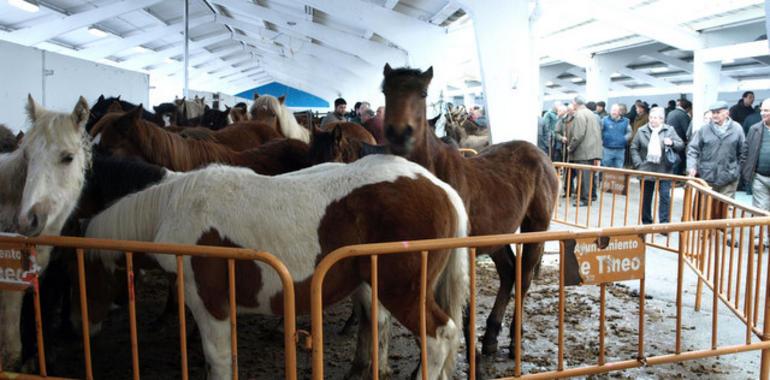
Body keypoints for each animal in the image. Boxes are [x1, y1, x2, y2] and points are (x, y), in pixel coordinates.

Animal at [82, 155, 468, 380]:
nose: (81, 327)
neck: (174, 207)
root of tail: (442, 188)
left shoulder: (209, 303)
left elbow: (217, 360)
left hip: (403, 292)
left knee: (438, 338)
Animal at [378, 65, 560, 362]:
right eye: (385, 90)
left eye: (423, 92)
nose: (399, 133)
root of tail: (542, 156)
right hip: (496, 236)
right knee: (509, 272)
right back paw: (491, 337)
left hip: (535, 227)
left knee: (524, 276)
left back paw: (513, 340)